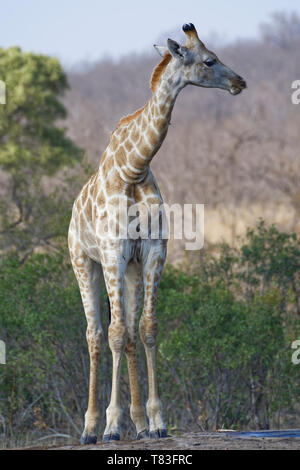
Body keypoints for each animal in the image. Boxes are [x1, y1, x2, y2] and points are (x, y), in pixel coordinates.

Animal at [68, 23, 246, 444]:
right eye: (209, 60)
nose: (239, 82)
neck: (134, 167)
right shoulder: (112, 253)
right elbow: (114, 333)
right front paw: (111, 426)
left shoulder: (151, 252)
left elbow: (147, 329)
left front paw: (156, 421)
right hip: (84, 262)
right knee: (96, 334)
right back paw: (90, 428)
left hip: (131, 269)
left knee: (130, 333)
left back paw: (136, 422)